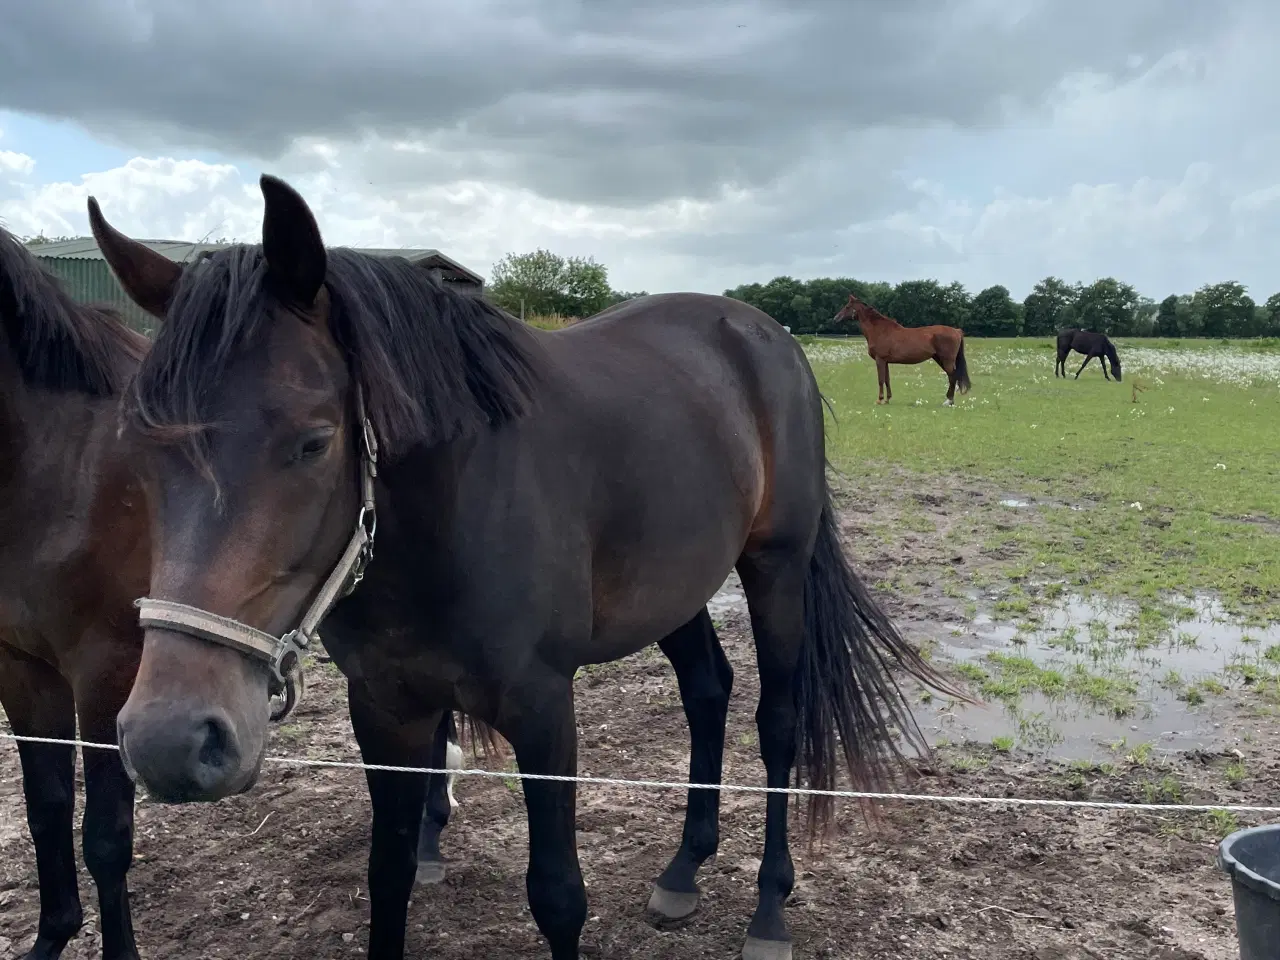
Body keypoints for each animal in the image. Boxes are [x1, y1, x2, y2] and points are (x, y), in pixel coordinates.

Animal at [829, 296, 967, 409]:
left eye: (847, 307)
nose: (835, 318)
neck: (880, 331)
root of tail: (956, 331)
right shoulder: (885, 361)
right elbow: (887, 379)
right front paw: (887, 399)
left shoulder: (880, 360)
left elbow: (880, 379)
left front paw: (879, 400)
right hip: (939, 359)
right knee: (952, 377)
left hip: (946, 360)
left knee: (952, 377)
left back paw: (949, 401)